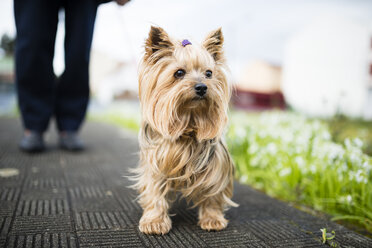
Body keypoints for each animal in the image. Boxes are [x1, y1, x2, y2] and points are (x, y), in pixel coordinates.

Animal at [133, 26, 238, 234]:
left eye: (209, 73)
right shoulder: (155, 161)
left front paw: (212, 218)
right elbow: (154, 191)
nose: (202, 87)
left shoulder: (215, 165)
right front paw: (154, 221)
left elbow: (212, 192)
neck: (189, 120)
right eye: (179, 73)